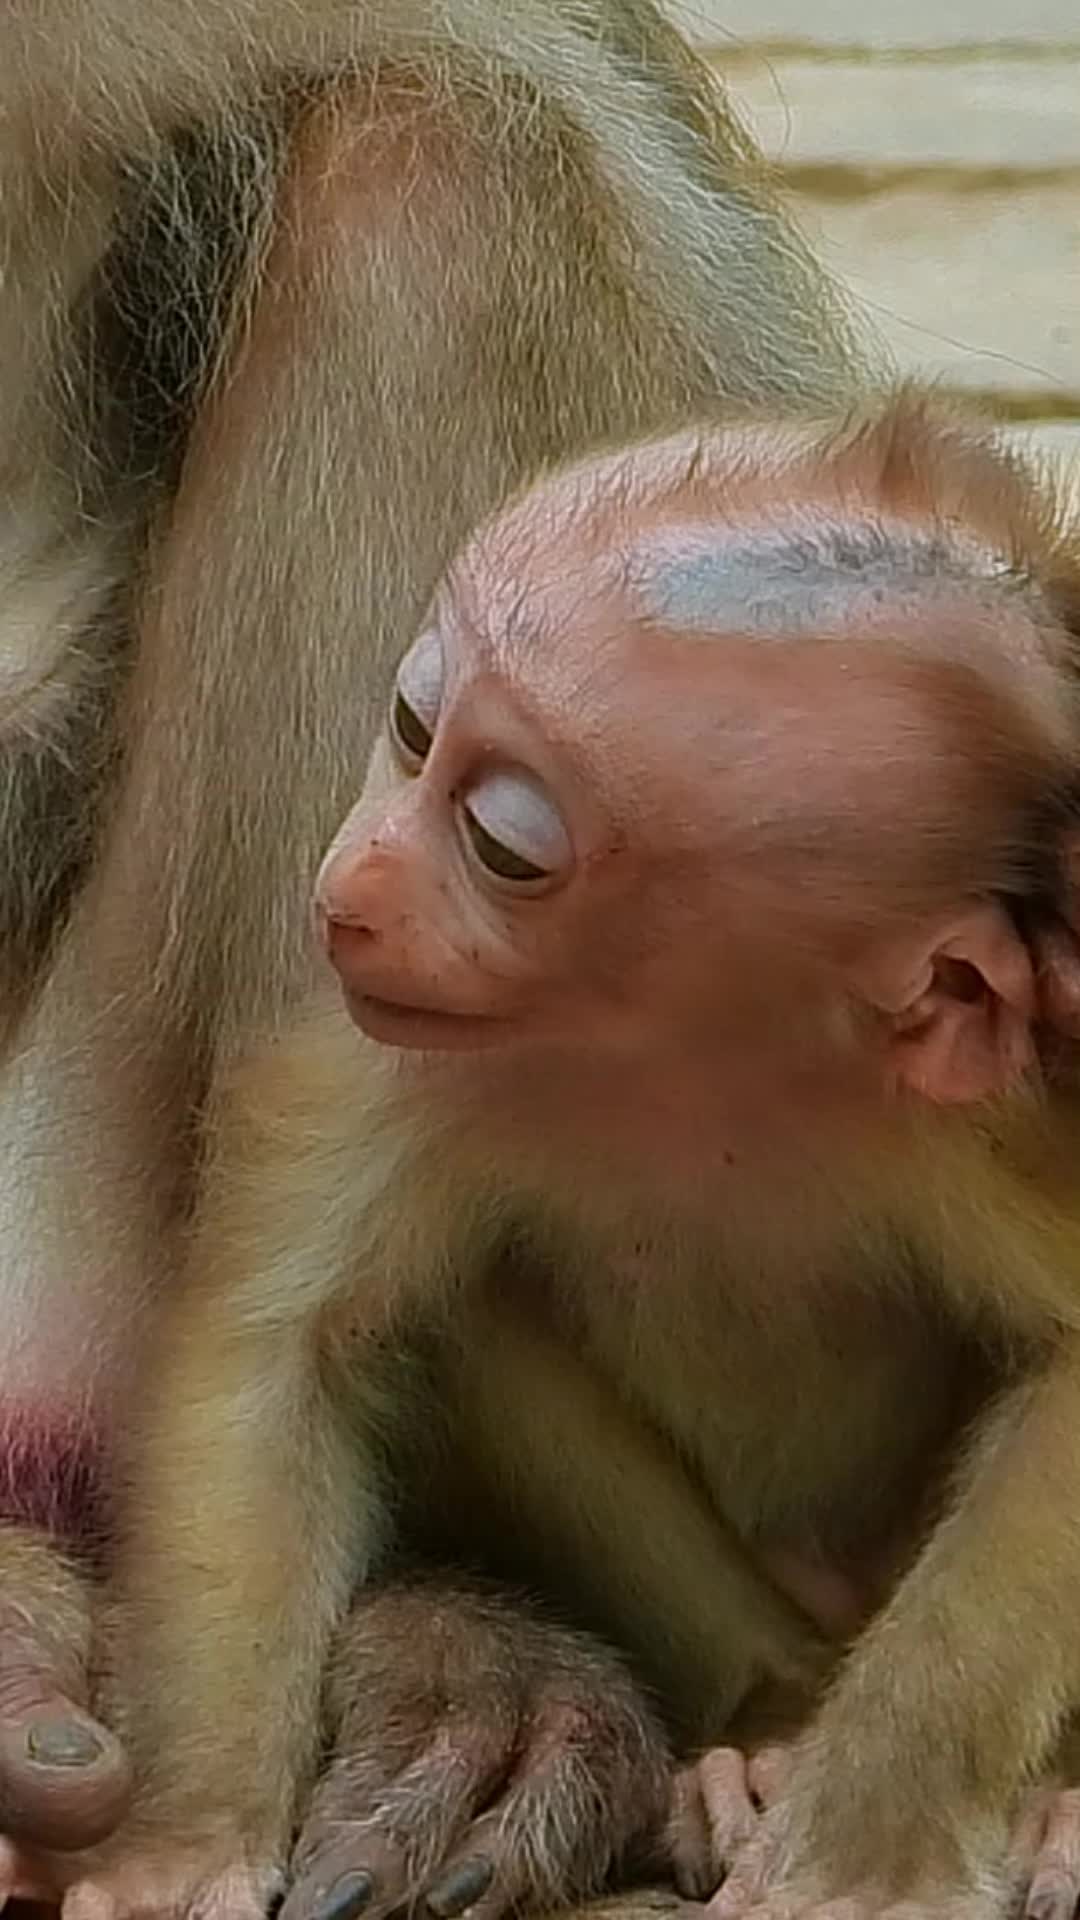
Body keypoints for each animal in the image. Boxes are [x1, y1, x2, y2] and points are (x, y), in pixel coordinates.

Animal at [51, 390, 1080, 1920]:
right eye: (411, 728)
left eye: (502, 845)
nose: (354, 887)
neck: (688, 1054)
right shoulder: (405, 1055)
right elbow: (277, 1355)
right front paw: (188, 1841)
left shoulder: (975, 1107)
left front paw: (865, 1850)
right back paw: (760, 1725)